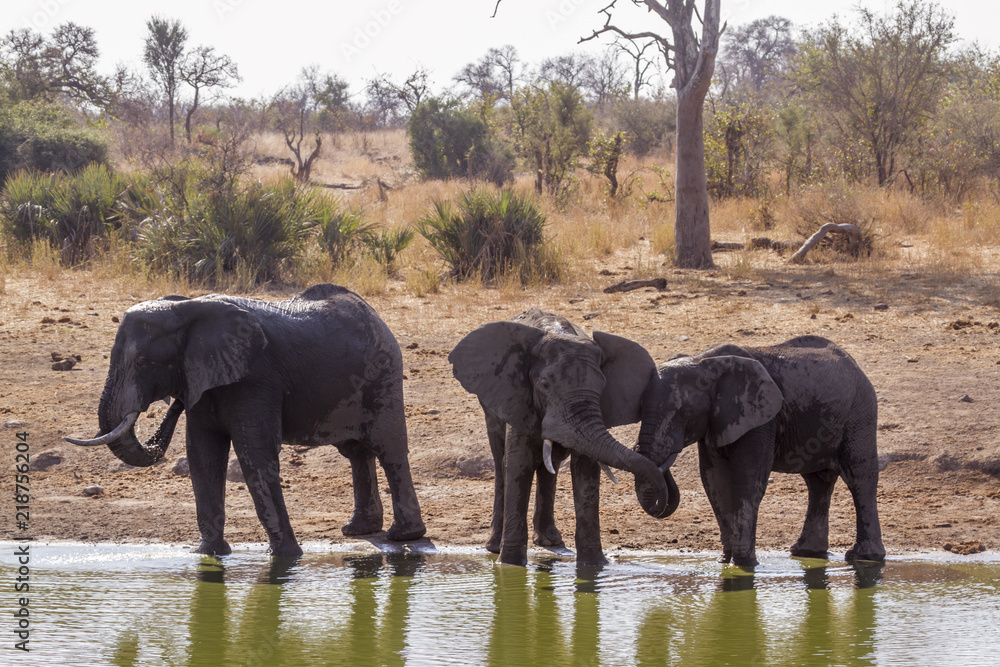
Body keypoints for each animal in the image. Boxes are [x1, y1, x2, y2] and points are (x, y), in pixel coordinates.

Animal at [65, 283, 426, 557]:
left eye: (142, 362)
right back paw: (358, 530)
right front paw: (208, 554)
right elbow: (203, 456)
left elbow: (255, 454)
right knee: (356, 453)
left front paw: (286, 558)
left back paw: (403, 537)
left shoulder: (255, 378)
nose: (175, 401)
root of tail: (374, 313)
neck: (187, 309)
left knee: (388, 449)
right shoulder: (205, 378)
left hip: (383, 373)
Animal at [449, 308, 672, 566]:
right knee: (500, 458)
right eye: (544, 385)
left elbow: (585, 470)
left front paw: (594, 566)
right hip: (490, 405)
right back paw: (496, 546)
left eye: (602, 387)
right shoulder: (518, 396)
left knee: (550, 465)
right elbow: (518, 463)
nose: (658, 506)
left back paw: (550, 541)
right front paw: (510, 565)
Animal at [633, 335, 885, 568]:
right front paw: (725, 562)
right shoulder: (715, 422)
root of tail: (853, 362)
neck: (703, 362)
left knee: (858, 476)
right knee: (817, 482)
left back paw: (864, 557)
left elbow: (748, 480)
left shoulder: (762, 418)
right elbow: (715, 483)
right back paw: (807, 553)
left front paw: (745, 564)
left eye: (684, 413)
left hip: (859, 412)